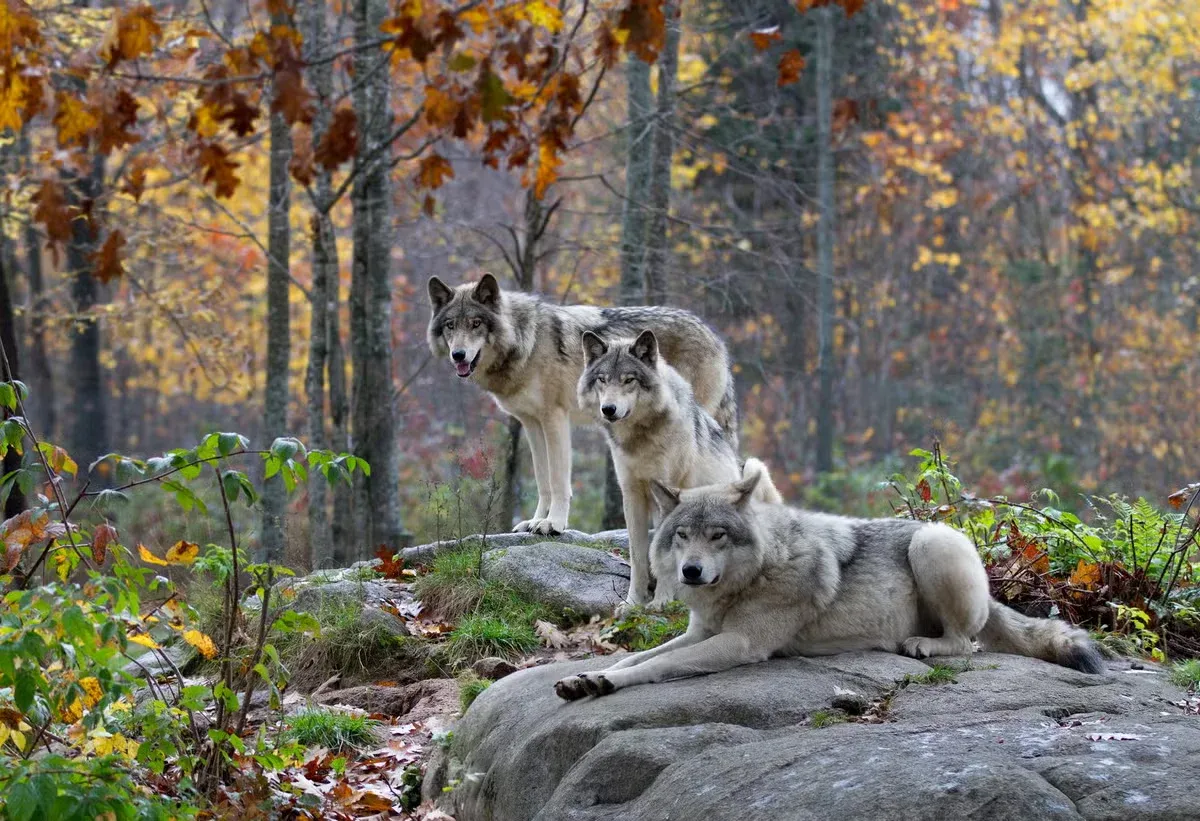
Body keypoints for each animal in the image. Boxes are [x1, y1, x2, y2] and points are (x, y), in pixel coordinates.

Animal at [427, 273, 737, 535]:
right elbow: (542, 480)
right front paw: (535, 521)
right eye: (451, 326)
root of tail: (715, 336)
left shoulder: (554, 418)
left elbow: (558, 480)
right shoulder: (531, 423)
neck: (527, 341)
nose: (458, 355)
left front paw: (553, 524)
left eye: (476, 324)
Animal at [556, 465, 1105, 699]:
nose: (691, 571)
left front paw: (606, 682)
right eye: (683, 536)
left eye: (717, 536)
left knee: (966, 644)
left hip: (931, 543)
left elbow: (658, 665)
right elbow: (636, 657)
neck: (758, 571)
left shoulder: (740, 643)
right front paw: (587, 676)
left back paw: (922, 645)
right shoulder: (701, 632)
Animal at [578, 330, 781, 607]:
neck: (641, 439)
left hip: (753, 466)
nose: (608, 409)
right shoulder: (631, 494)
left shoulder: (668, 491)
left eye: (629, 380)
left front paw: (661, 601)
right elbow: (638, 556)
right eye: (602, 380)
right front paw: (633, 602)